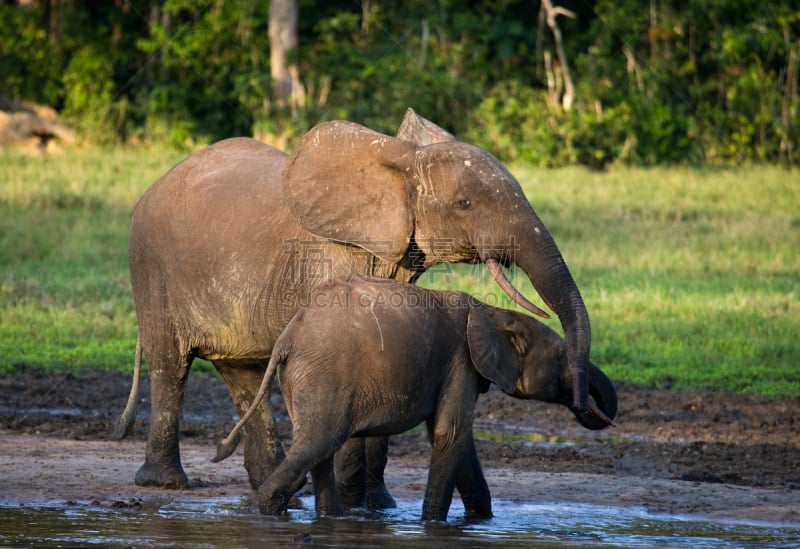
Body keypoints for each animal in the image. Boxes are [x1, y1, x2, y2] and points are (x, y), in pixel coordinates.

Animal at [114, 108, 600, 500]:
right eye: (464, 203)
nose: (583, 406)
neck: (403, 160)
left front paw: (378, 508)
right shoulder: (326, 260)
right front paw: (355, 506)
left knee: (244, 375)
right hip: (150, 266)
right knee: (171, 366)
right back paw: (166, 483)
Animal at [216, 276, 616, 520]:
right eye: (562, 357)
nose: (596, 411)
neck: (494, 312)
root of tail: (287, 338)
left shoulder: (455, 367)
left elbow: (461, 443)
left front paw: (482, 521)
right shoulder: (460, 361)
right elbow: (449, 435)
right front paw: (432, 525)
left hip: (305, 379)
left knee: (317, 448)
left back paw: (332, 518)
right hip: (322, 375)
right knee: (317, 445)